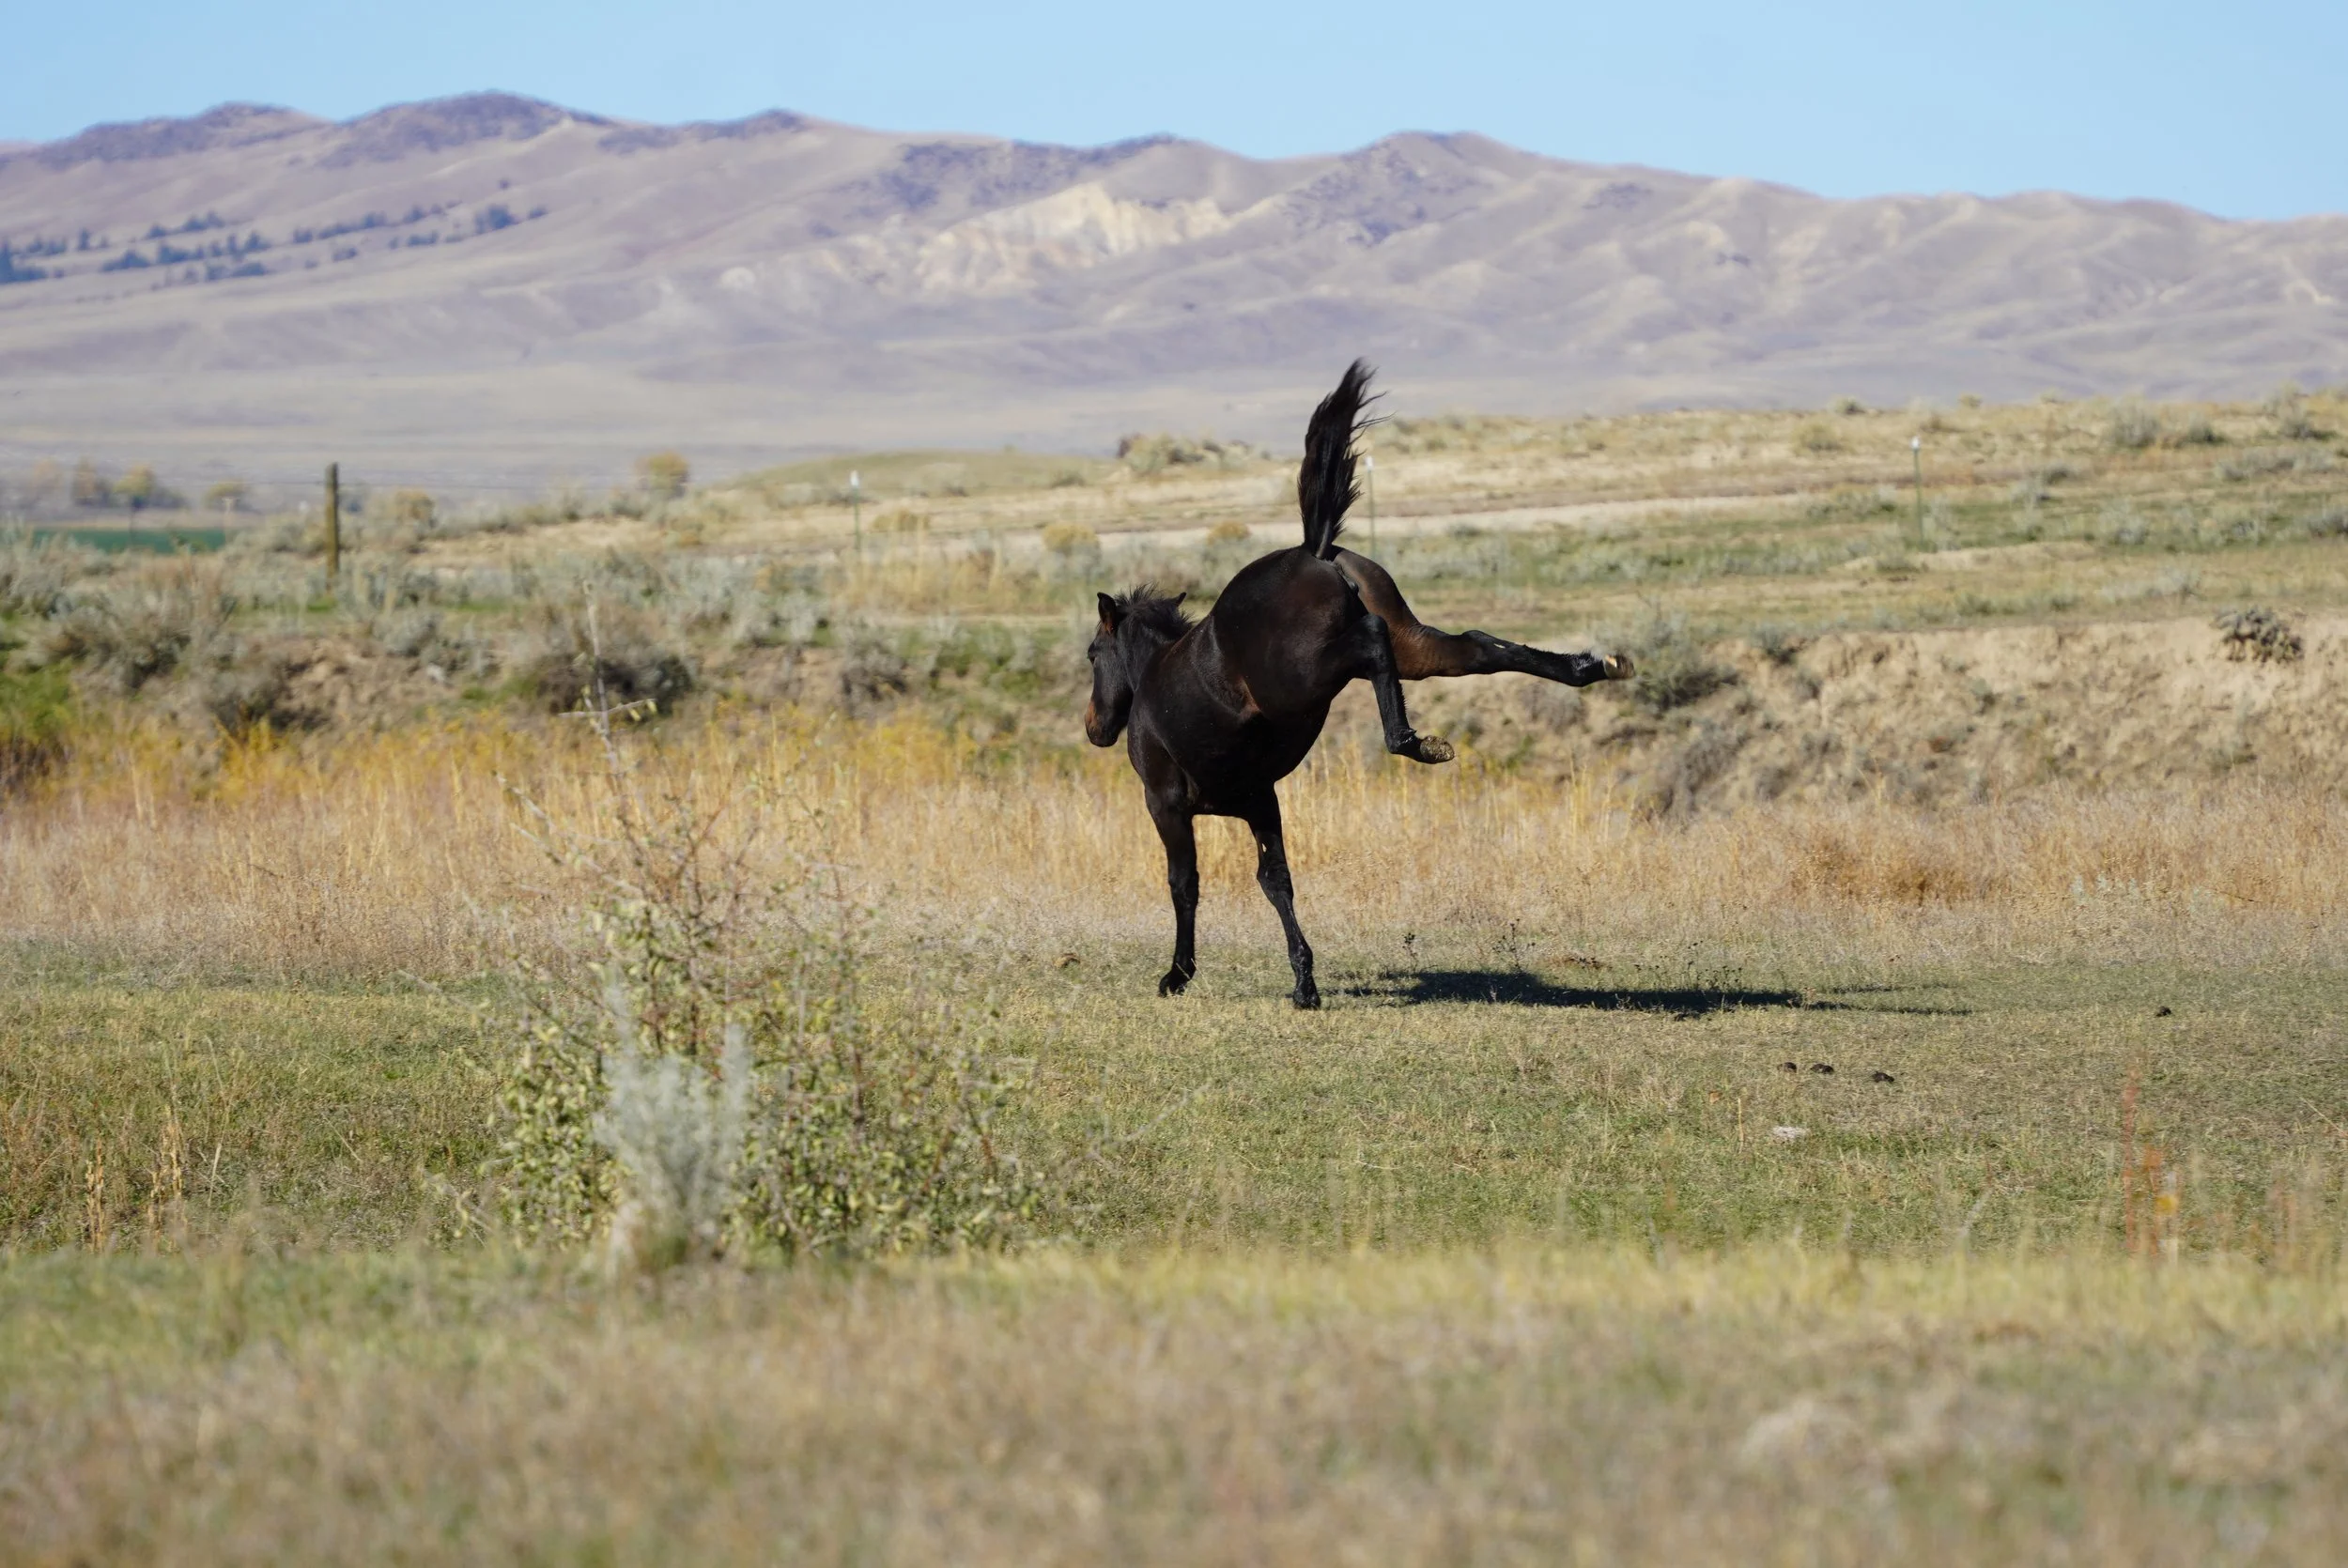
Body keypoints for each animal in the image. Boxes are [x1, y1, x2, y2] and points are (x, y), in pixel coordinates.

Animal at [1084, 360, 1634, 1009]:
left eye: (1092, 654)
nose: (1094, 727)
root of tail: (1315, 552)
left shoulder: (1167, 804)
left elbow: (1185, 883)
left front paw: (1178, 975)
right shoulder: (1260, 800)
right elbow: (1275, 881)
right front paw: (1304, 982)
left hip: (1302, 678)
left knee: (1372, 643)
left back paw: (1412, 741)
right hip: (1414, 646)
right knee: (1475, 646)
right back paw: (1592, 667)